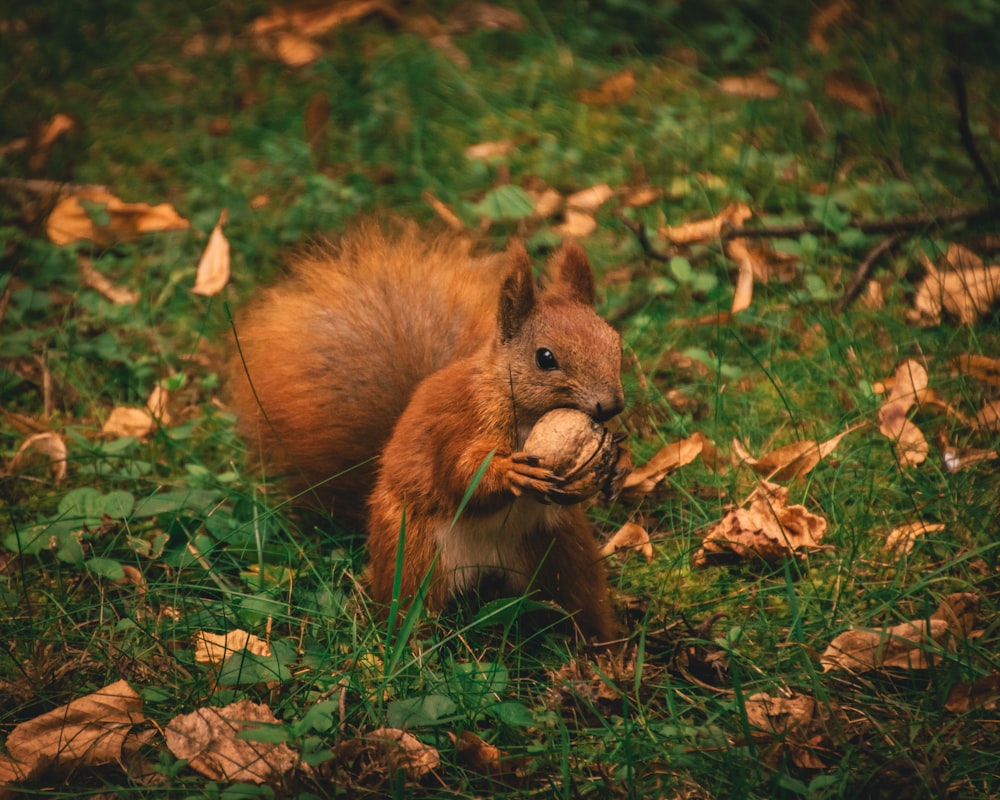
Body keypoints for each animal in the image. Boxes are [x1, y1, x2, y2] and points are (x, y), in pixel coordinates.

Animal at [230, 220, 628, 644]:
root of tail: (488, 566)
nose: (611, 406)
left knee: (579, 601)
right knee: (411, 612)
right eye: (545, 358)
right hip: (414, 555)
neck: (527, 414)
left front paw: (621, 462)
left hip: (560, 549)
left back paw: (604, 647)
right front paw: (508, 472)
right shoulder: (461, 422)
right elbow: (458, 474)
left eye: (615, 343)